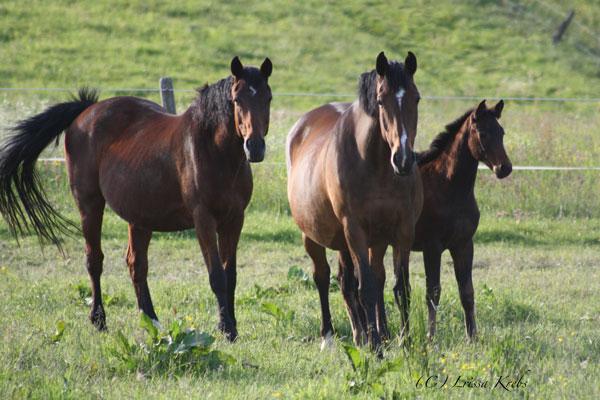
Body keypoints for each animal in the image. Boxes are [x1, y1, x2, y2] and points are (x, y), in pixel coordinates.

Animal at [0, 54, 272, 340]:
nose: (255, 147)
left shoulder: (234, 219)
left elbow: (231, 275)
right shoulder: (204, 219)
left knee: (136, 265)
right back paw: (99, 320)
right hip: (89, 204)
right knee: (94, 260)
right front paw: (227, 329)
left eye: (268, 97)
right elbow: (217, 276)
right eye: (237, 99)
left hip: (139, 217)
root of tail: (87, 110)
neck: (214, 151)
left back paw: (152, 322)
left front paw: (231, 326)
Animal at [288, 51, 422, 352]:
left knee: (354, 279)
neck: (375, 165)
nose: (403, 159)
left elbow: (400, 287)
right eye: (381, 100)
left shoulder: (403, 229)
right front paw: (376, 347)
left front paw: (404, 340)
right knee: (323, 277)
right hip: (312, 236)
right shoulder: (355, 230)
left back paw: (365, 333)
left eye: (416, 98)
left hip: (361, 240)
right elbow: (366, 288)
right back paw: (331, 336)